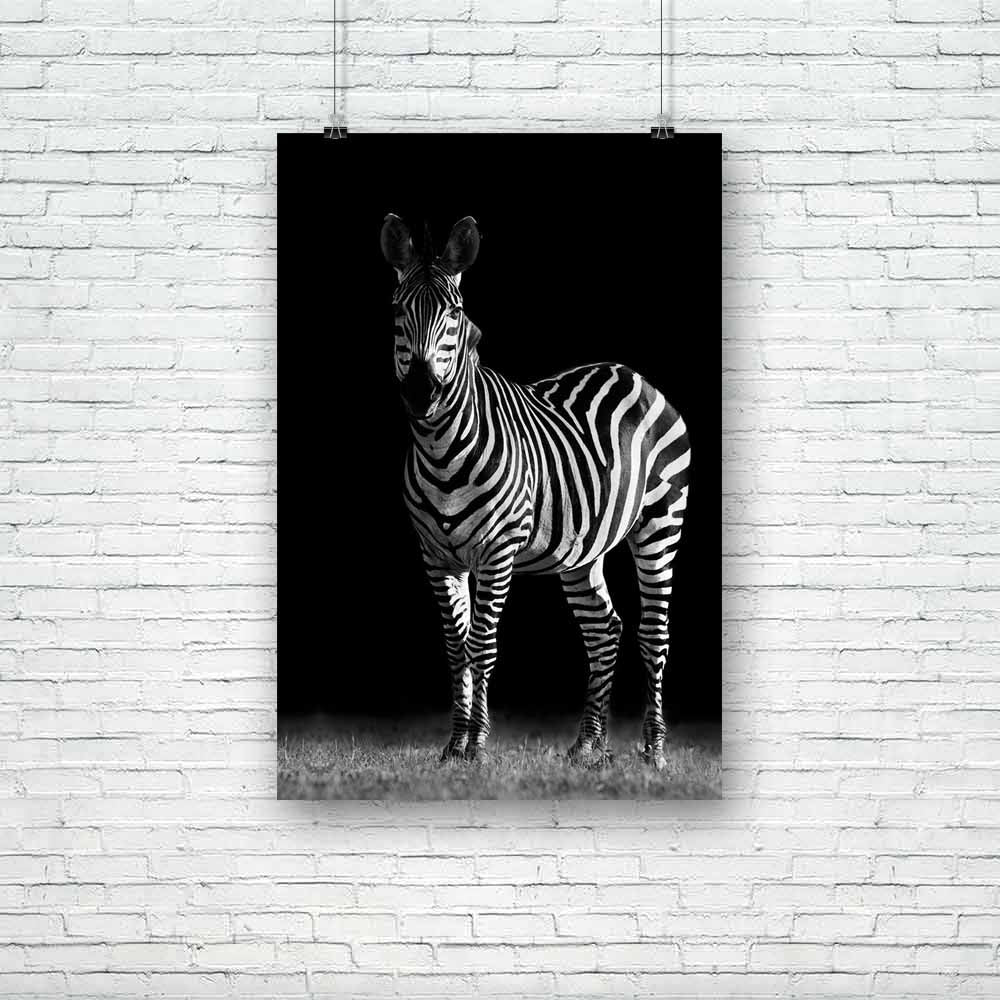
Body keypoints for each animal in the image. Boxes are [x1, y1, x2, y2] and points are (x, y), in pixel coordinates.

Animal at [381, 213, 691, 769]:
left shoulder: (498, 551)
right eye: (397, 311)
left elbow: (482, 645)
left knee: (654, 634)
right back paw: (589, 746)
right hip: (580, 551)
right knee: (604, 631)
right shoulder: (437, 558)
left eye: (455, 313)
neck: (440, 447)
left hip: (661, 523)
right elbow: (455, 650)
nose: (420, 392)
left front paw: (477, 747)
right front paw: (453, 745)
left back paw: (654, 753)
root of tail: (631, 373)